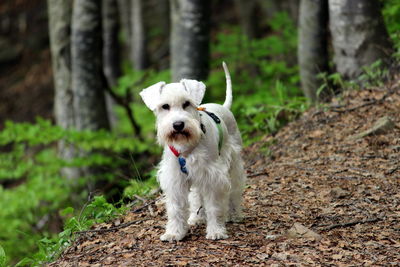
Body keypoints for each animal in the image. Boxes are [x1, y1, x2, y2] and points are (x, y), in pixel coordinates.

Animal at [141, 63, 247, 243]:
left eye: (186, 103)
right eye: (165, 106)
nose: (178, 125)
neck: (186, 146)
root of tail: (223, 107)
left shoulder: (212, 177)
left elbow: (214, 206)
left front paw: (216, 231)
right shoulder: (176, 178)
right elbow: (176, 209)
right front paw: (174, 233)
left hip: (234, 163)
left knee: (234, 189)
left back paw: (233, 214)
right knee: (197, 195)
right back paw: (197, 218)